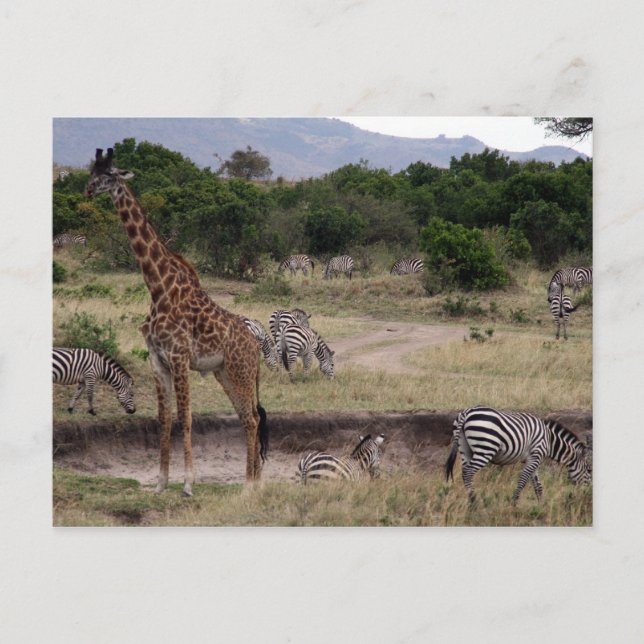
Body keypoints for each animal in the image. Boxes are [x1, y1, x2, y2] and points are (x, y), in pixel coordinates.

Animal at [84, 148, 268, 496]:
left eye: (110, 175)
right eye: (91, 172)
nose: (87, 190)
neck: (158, 288)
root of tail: (255, 344)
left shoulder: (180, 357)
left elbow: (186, 417)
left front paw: (187, 484)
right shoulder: (158, 359)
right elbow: (164, 418)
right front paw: (160, 484)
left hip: (240, 371)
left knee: (252, 419)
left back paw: (249, 486)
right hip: (225, 373)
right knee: (248, 417)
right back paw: (254, 482)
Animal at [445, 406, 591, 505]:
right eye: (589, 470)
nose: (586, 495)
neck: (549, 440)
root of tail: (466, 413)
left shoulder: (532, 459)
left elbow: (537, 484)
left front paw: (541, 504)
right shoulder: (536, 456)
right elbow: (523, 480)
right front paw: (514, 503)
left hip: (465, 449)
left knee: (465, 472)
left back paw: (470, 501)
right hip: (485, 448)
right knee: (468, 472)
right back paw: (474, 502)